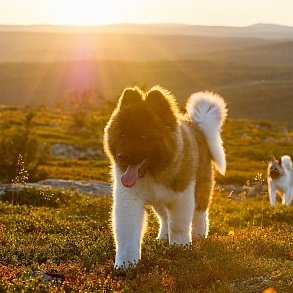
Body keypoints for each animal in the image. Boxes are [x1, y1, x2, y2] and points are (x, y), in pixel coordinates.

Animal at [102, 85, 226, 268]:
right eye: (122, 134)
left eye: (143, 137)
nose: (122, 156)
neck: (154, 173)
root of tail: (197, 126)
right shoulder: (129, 199)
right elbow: (127, 233)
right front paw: (125, 264)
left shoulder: (182, 196)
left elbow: (178, 226)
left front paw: (180, 248)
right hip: (160, 202)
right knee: (164, 217)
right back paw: (163, 237)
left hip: (201, 187)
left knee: (200, 215)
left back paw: (199, 236)